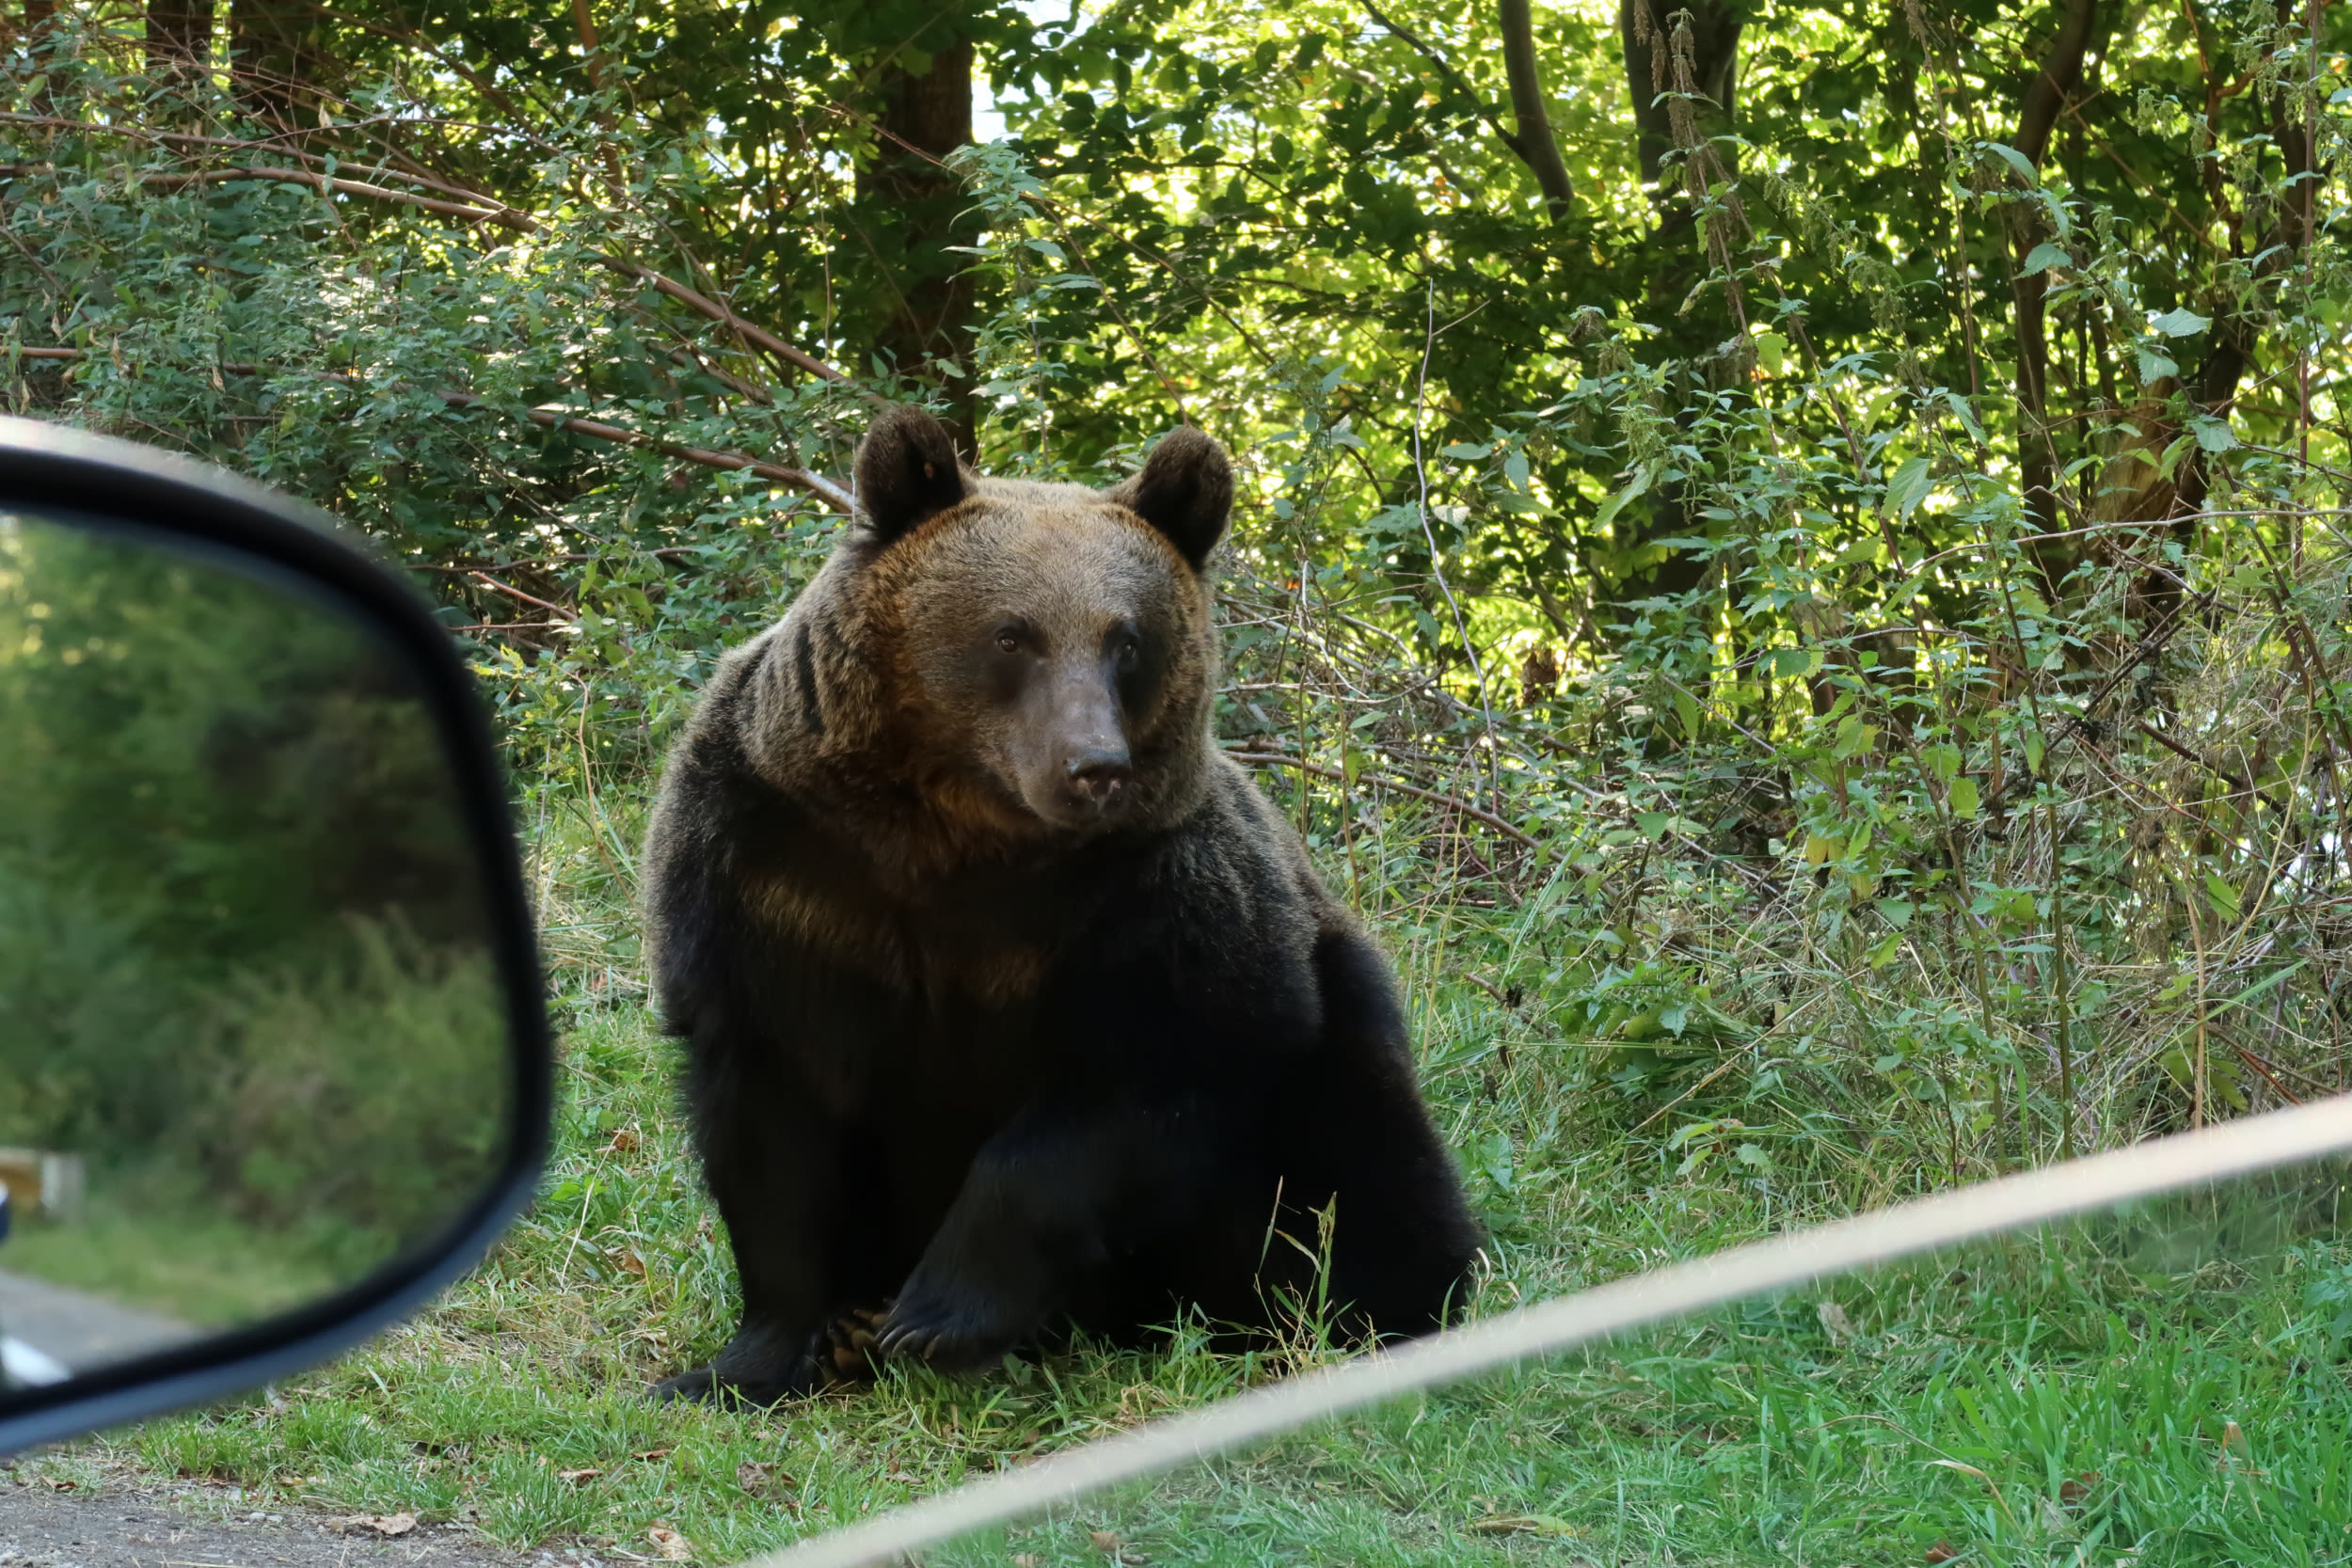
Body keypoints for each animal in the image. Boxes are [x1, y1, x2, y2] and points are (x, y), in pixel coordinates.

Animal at [640, 411, 1486, 1401]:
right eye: (1014, 636)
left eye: (1127, 640)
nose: (1094, 767)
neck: (955, 835)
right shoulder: (775, 879)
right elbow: (772, 1133)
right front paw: (758, 1356)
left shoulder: (1157, 902)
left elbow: (1128, 1093)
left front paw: (934, 1316)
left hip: (1332, 1032)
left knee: (1370, 1165)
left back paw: (1370, 1310)